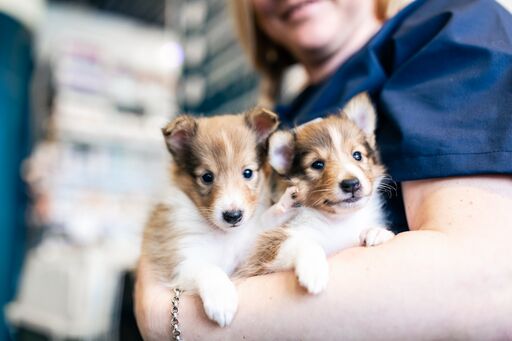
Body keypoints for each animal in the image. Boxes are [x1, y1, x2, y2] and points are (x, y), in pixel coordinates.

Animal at [142, 107, 298, 326]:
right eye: (207, 177)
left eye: (248, 172)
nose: (233, 216)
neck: (224, 235)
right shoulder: (179, 259)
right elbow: (208, 268)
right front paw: (222, 301)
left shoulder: (245, 257)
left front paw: (286, 203)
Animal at [240, 93, 396, 292]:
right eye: (317, 164)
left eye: (357, 155)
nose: (351, 184)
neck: (340, 221)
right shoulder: (263, 253)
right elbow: (305, 242)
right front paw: (313, 272)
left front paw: (378, 233)